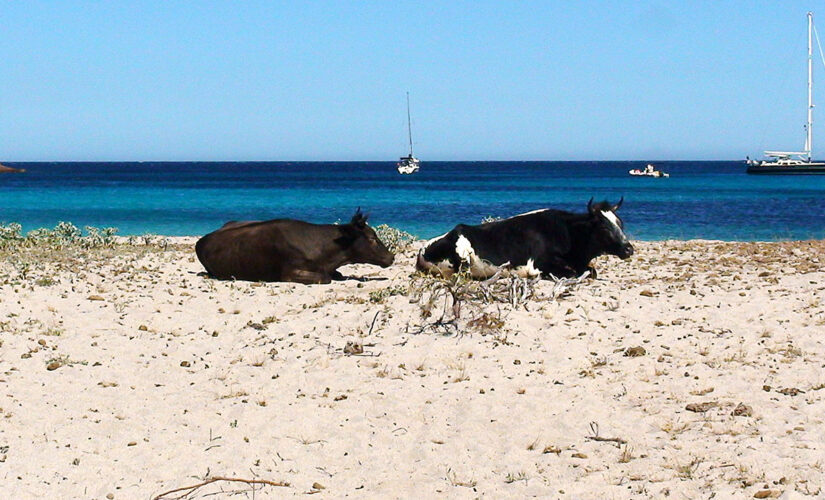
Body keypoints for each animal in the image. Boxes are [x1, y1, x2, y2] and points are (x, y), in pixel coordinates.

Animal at [416, 197, 636, 280]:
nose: (629, 249)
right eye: (604, 227)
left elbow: (591, 271)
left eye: (620, 223)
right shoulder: (541, 264)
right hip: (462, 255)